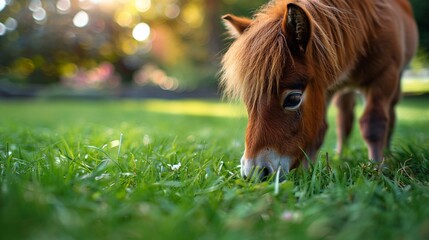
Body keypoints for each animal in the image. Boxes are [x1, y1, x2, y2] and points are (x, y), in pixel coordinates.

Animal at [221, 0, 418, 180]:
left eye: (293, 99)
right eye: (248, 101)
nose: (254, 172)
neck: (367, 27)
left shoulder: (384, 77)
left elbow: (373, 124)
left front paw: (377, 169)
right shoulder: (324, 87)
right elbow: (319, 130)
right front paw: (307, 173)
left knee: (389, 115)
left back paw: (387, 154)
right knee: (344, 119)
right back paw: (341, 156)